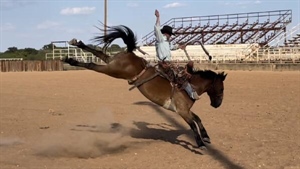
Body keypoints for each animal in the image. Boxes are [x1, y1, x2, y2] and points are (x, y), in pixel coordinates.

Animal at [63, 24, 227, 149]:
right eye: (221, 89)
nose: (218, 104)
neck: (189, 85)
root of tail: (130, 53)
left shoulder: (186, 110)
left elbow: (198, 119)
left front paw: (206, 137)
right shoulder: (182, 111)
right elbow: (193, 124)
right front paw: (200, 143)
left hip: (112, 63)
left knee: (99, 54)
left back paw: (76, 45)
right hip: (113, 70)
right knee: (92, 64)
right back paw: (71, 60)